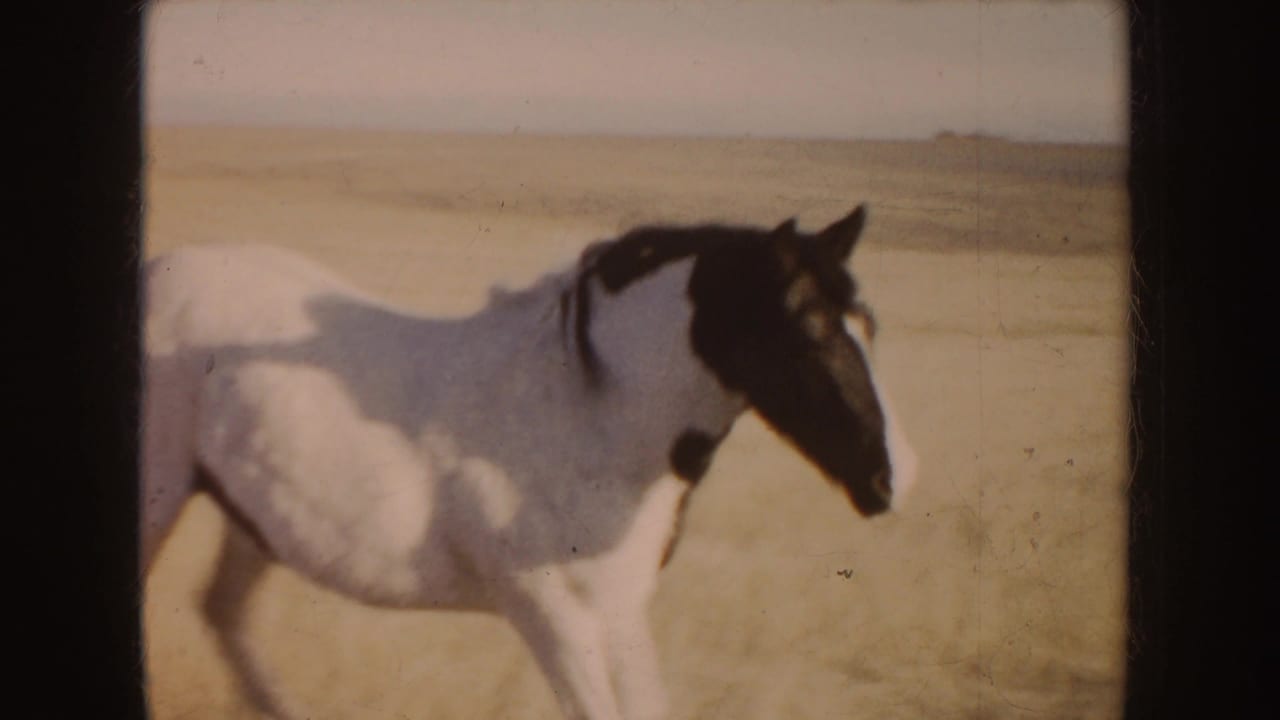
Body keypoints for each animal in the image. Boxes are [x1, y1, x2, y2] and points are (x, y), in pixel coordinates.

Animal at [140, 204, 918, 720]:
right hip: (159, 501)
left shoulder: (621, 612)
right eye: (807, 332)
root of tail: (156, 272)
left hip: (253, 521)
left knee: (224, 616)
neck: (590, 415)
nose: (893, 479)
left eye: (868, 326)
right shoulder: (554, 616)